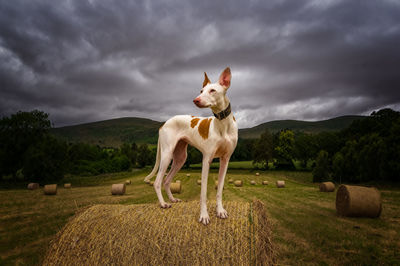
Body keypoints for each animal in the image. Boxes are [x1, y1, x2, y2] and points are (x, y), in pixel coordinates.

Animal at [144, 67, 238, 224]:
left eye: (212, 90)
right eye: (201, 90)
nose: (196, 100)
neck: (222, 123)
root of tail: (164, 123)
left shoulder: (225, 159)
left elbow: (219, 189)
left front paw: (220, 210)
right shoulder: (206, 160)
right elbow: (203, 192)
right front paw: (204, 215)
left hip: (180, 158)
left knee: (167, 181)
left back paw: (172, 199)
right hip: (167, 155)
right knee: (157, 181)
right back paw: (163, 203)